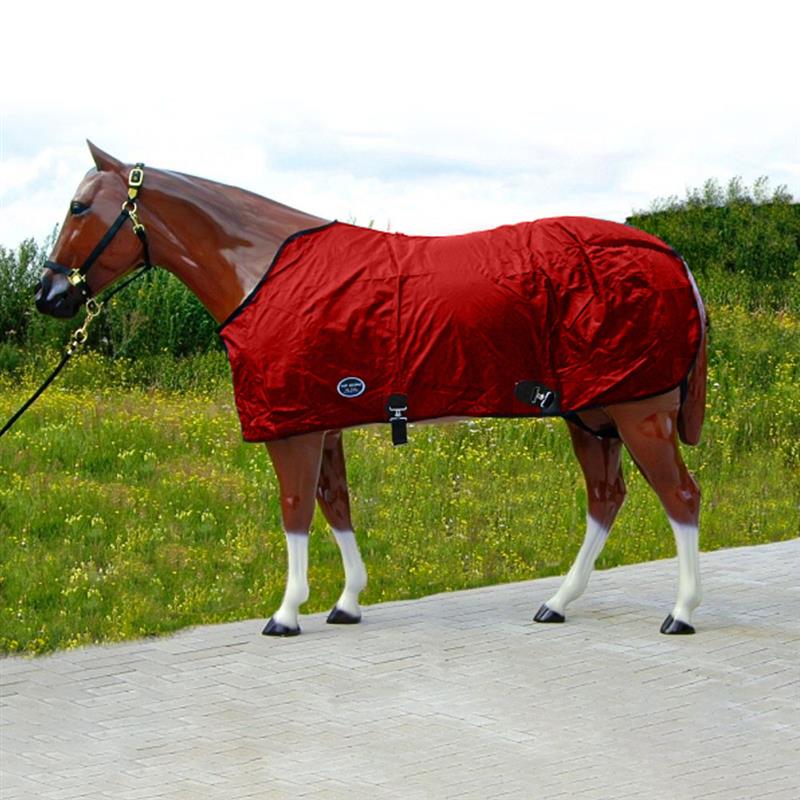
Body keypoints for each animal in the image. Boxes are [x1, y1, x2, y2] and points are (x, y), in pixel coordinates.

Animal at [35, 142, 707, 637]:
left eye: (77, 207)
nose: (49, 297)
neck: (262, 271)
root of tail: (669, 256)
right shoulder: (321, 420)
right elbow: (335, 505)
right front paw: (347, 602)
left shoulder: (292, 430)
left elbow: (295, 510)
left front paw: (286, 613)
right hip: (592, 416)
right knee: (606, 498)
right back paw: (558, 602)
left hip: (639, 413)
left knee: (680, 497)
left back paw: (680, 613)